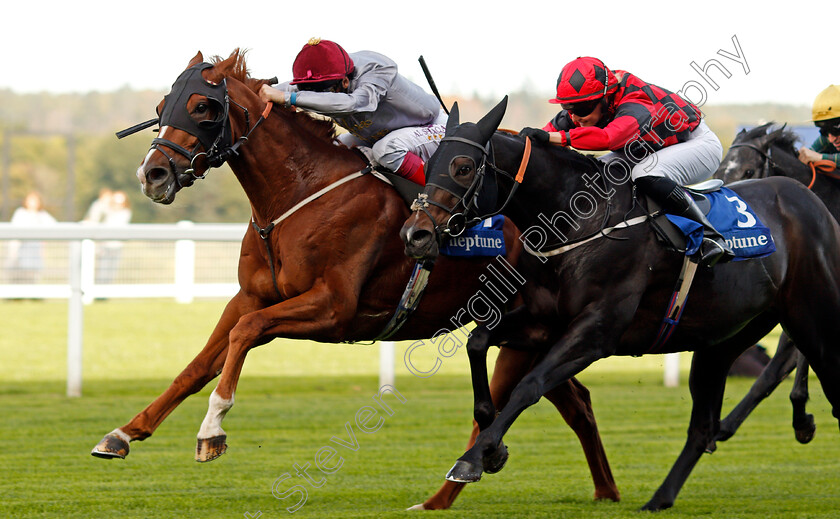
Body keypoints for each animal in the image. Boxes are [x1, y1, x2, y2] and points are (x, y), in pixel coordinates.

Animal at [92, 51, 620, 508]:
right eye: (161, 107)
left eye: (202, 106)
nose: (153, 174)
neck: (300, 190)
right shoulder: (250, 296)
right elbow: (199, 364)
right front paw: (122, 434)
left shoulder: (333, 308)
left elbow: (244, 335)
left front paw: (212, 430)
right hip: (528, 330)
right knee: (575, 402)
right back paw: (601, 490)